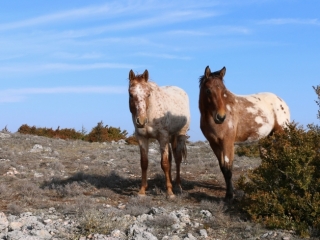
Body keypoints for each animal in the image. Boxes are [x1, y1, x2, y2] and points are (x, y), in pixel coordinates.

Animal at [198, 65, 290, 201]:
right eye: (208, 90)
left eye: (224, 91)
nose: (221, 117)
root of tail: (281, 102)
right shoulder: (214, 144)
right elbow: (222, 168)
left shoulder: (228, 143)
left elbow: (228, 169)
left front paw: (229, 196)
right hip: (266, 139)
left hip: (282, 135)